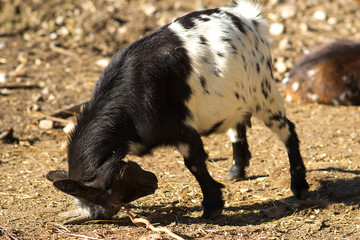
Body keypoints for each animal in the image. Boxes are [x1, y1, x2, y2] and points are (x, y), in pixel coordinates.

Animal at [45, 0, 310, 225]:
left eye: (110, 197)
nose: (153, 181)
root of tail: (247, 18)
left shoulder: (182, 128)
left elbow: (194, 164)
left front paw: (212, 207)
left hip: (264, 92)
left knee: (287, 130)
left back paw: (299, 185)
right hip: (237, 95)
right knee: (238, 124)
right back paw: (237, 170)